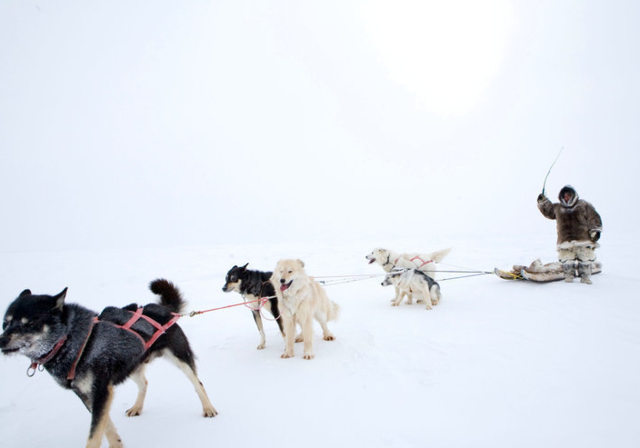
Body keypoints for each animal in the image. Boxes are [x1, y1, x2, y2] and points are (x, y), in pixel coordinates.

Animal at [0, 280, 218, 448]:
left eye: (30, 323)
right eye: (6, 322)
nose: (1, 340)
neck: (74, 342)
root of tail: (161, 309)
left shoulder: (101, 391)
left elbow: (95, 433)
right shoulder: (88, 395)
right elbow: (106, 428)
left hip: (179, 358)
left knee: (198, 383)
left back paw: (208, 408)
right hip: (132, 365)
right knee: (144, 384)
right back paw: (137, 407)